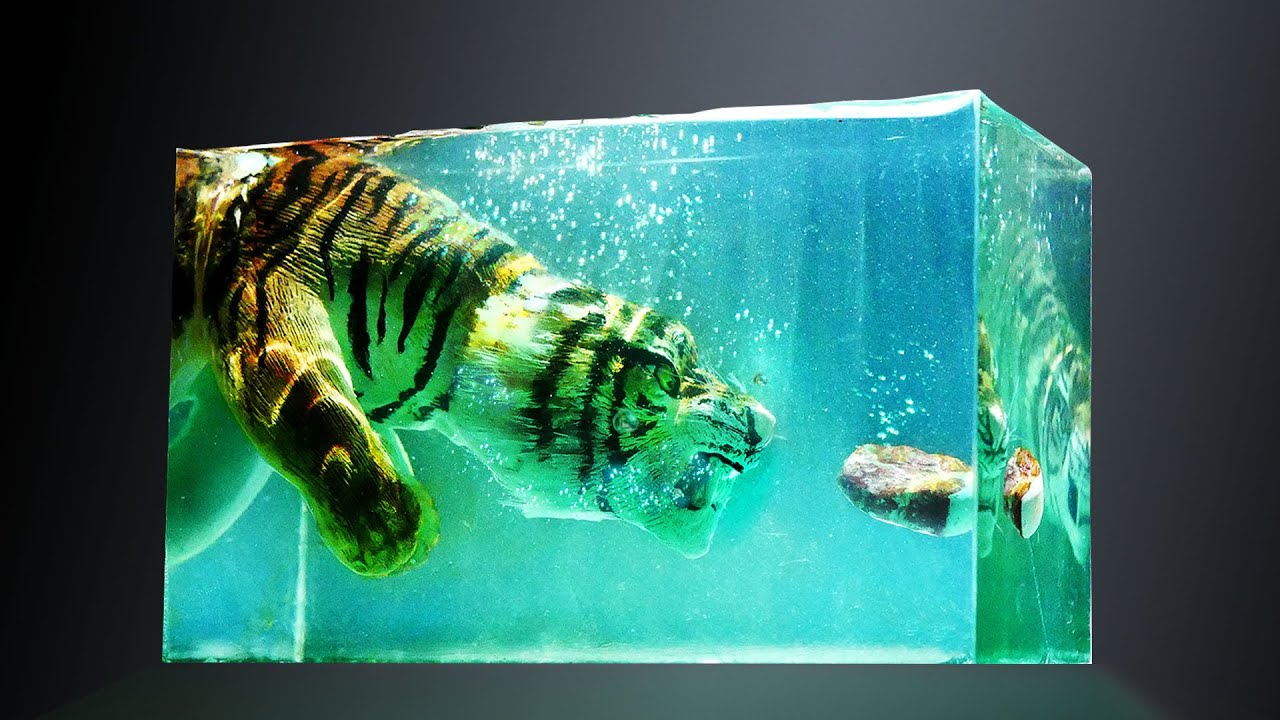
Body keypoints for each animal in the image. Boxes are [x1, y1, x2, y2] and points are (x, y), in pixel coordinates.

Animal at [168, 138, 776, 577]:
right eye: (670, 367)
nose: (768, 427)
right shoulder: (267, 278)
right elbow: (320, 415)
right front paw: (388, 532)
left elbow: (200, 498)